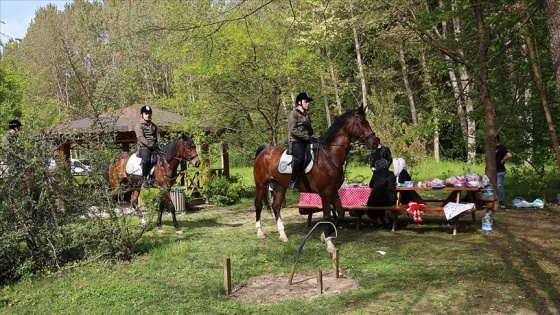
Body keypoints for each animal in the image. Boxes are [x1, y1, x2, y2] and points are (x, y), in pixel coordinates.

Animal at [254, 107, 376, 253]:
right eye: (362, 122)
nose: (376, 142)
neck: (329, 155)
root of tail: (264, 151)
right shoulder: (325, 193)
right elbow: (327, 216)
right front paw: (329, 243)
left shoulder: (333, 191)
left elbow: (340, 213)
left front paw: (324, 236)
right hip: (261, 184)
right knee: (258, 205)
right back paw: (260, 233)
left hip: (280, 186)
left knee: (276, 206)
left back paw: (283, 235)